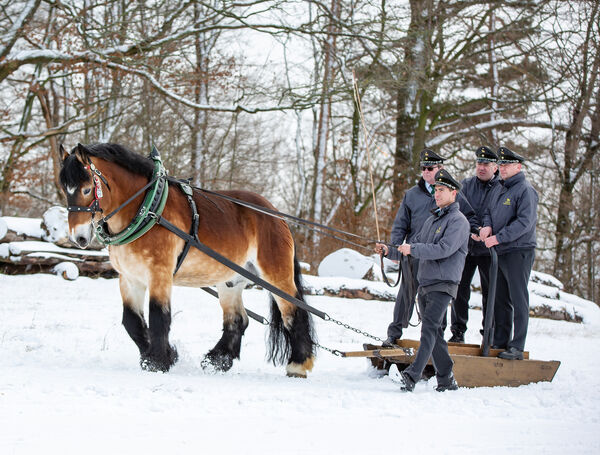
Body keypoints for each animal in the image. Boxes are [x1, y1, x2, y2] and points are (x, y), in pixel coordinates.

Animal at [58, 143, 316, 378]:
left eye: (87, 189)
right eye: (65, 189)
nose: (78, 237)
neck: (147, 210)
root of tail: (276, 215)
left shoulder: (159, 274)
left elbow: (159, 316)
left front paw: (158, 362)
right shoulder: (130, 278)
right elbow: (131, 320)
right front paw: (164, 355)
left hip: (275, 275)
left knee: (294, 313)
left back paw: (298, 365)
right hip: (231, 281)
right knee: (237, 320)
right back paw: (216, 361)